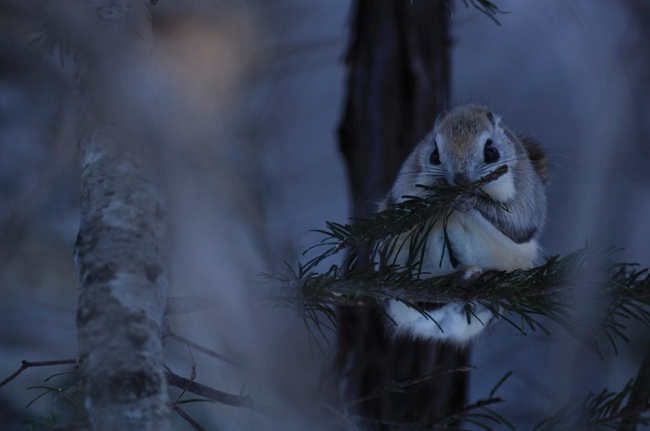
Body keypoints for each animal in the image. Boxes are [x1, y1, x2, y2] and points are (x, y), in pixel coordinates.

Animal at [380, 104, 548, 344]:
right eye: (434, 155)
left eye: (491, 152)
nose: (461, 181)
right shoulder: (404, 183)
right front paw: (440, 189)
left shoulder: (528, 193)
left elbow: (519, 225)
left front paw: (471, 200)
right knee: (422, 302)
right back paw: (459, 280)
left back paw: (489, 281)